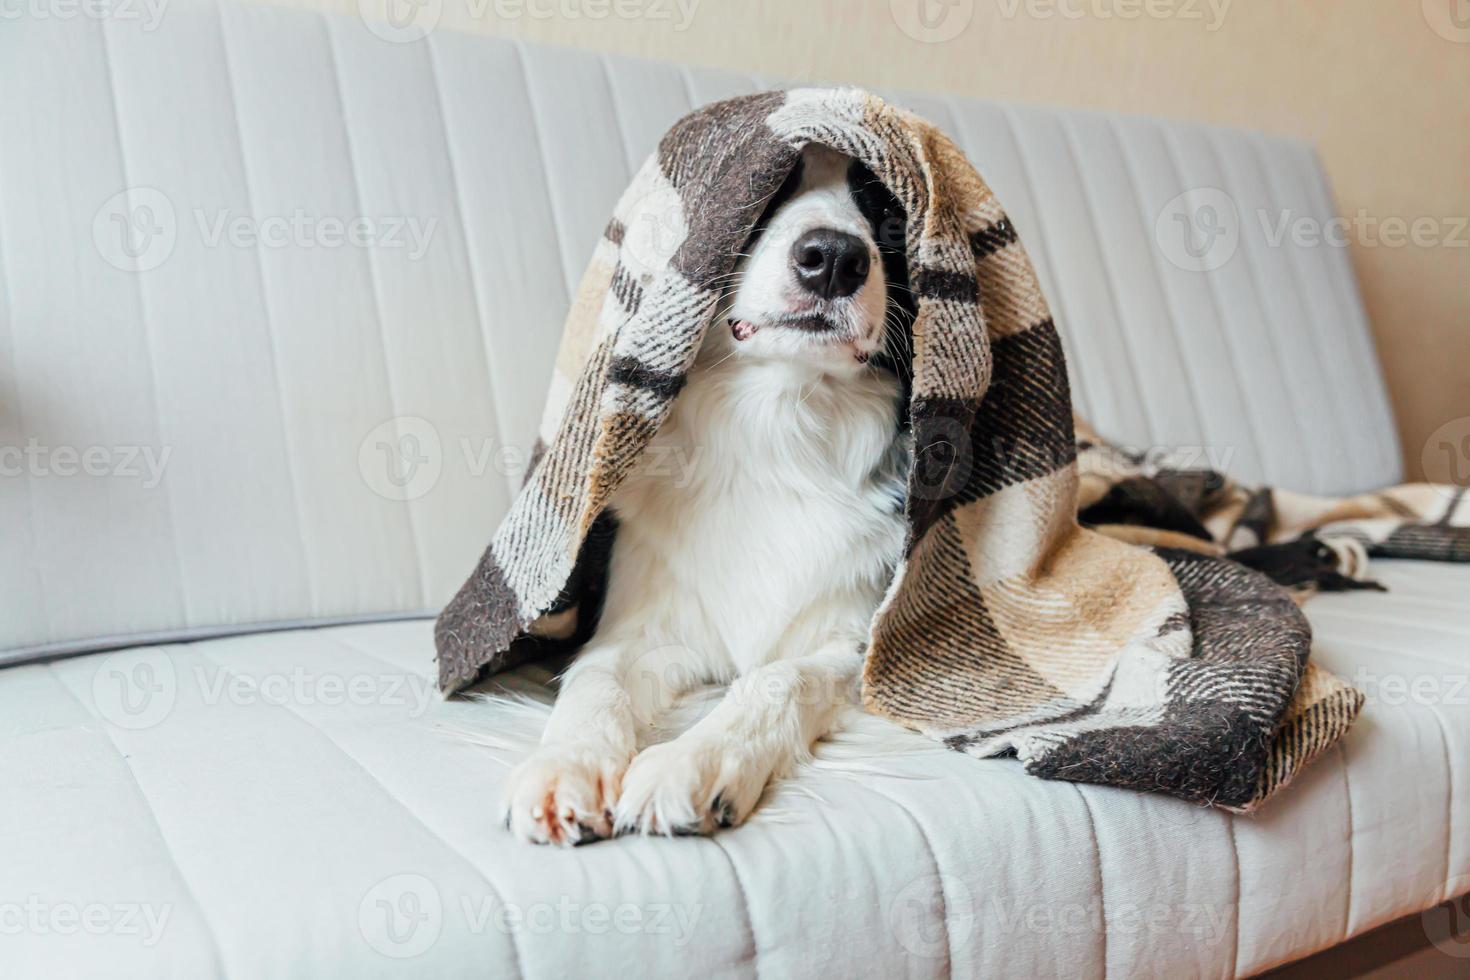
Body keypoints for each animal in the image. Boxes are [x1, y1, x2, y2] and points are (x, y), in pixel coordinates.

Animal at [505, 143, 917, 846]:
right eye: (769, 191)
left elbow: (780, 677)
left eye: (885, 209)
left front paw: (691, 763)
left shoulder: (857, 643)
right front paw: (566, 765)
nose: (835, 258)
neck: (780, 428)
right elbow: (594, 678)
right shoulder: (641, 620)